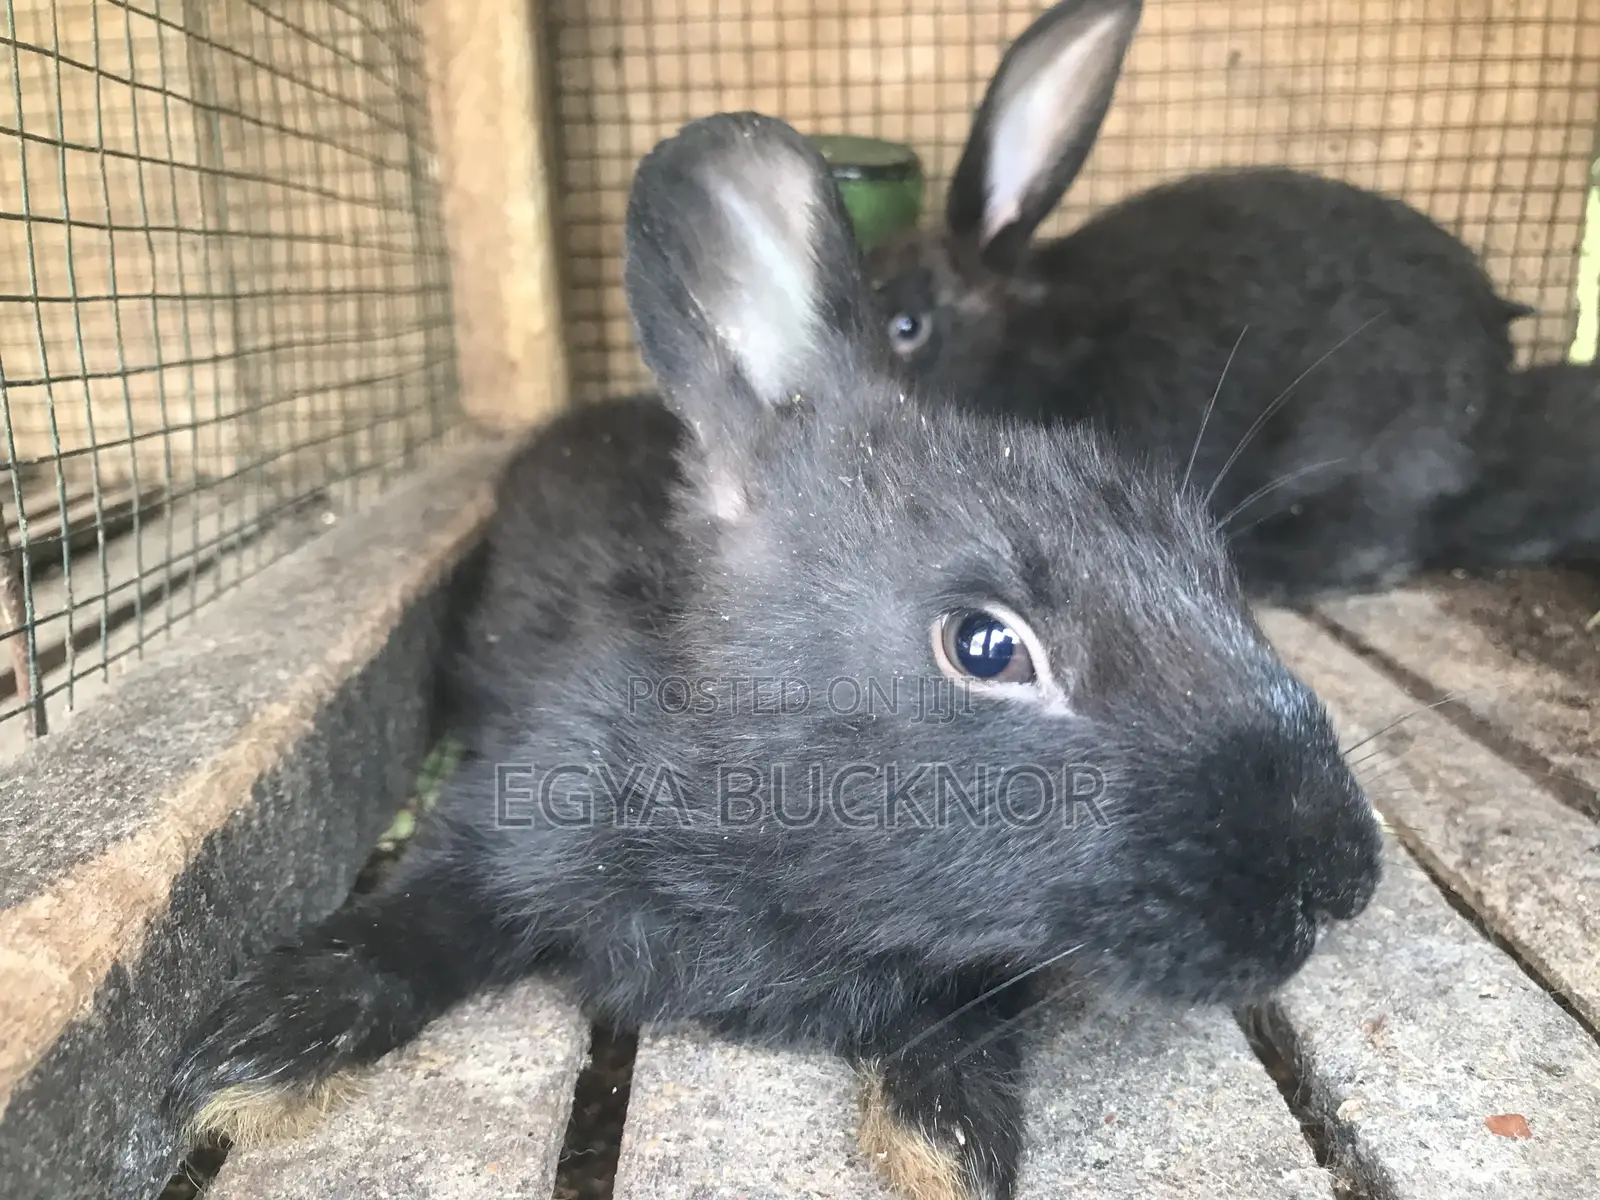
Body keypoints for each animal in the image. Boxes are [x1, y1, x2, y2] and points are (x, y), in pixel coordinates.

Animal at [165, 112, 1384, 1200]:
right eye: (986, 646)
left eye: (1213, 568)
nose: (1342, 877)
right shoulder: (504, 815)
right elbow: (400, 931)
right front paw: (240, 1065)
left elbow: (965, 1032)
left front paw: (946, 1150)